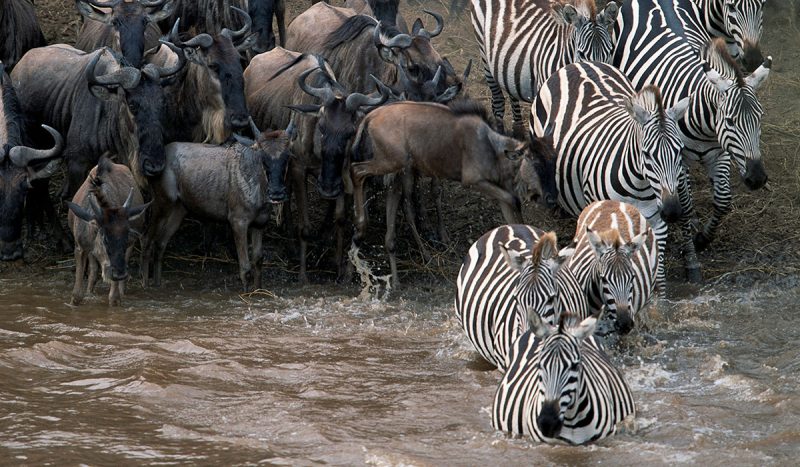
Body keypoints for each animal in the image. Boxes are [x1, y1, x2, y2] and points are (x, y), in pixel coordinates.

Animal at [531, 61, 688, 295]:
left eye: (679, 151)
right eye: (647, 154)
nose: (672, 211)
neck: (641, 185)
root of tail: (580, 63)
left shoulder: (656, 222)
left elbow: (655, 273)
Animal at [613, 0, 771, 282]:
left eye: (760, 119)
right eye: (730, 121)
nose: (757, 179)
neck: (704, 123)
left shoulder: (719, 154)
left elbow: (723, 201)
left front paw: (702, 239)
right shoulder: (679, 160)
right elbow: (684, 207)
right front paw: (691, 260)